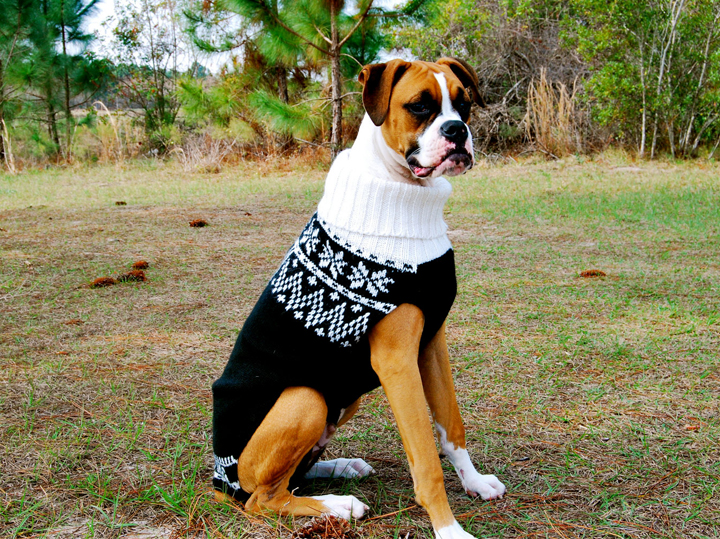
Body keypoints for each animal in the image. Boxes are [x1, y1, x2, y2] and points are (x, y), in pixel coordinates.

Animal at [212, 59, 506, 539]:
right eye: (419, 105)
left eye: (464, 104)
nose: (457, 130)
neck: (401, 196)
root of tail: (219, 482)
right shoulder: (397, 361)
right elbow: (427, 459)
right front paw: (449, 529)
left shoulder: (432, 345)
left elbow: (451, 426)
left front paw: (475, 482)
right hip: (307, 399)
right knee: (263, 498)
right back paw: (337, 505)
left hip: (343, 397)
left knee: (293, 477)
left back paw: (340, 468)